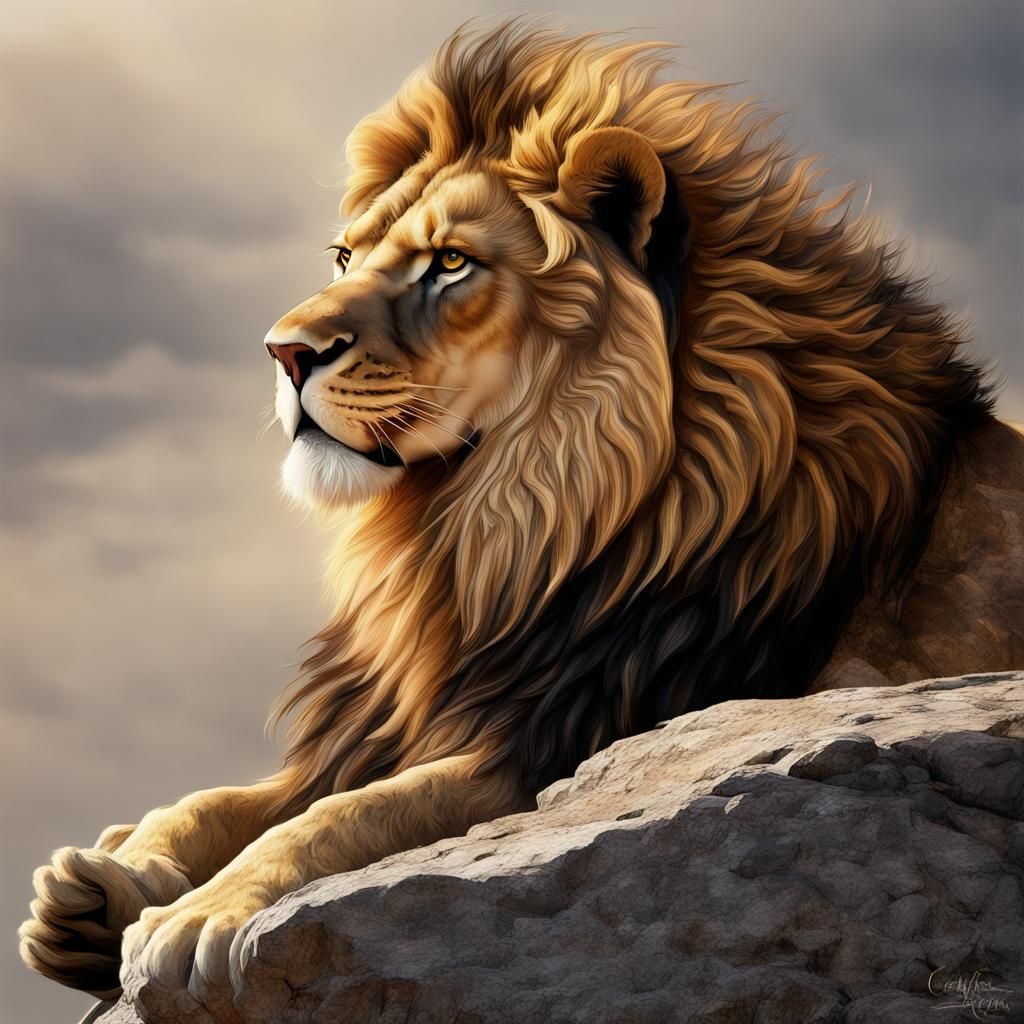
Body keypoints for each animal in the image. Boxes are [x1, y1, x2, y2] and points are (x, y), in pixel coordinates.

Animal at [20, 22, 1022, 1021]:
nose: (284, 351)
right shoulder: (395, 721)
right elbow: (229, 799)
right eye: (344, 258)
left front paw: (197, 916)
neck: (489, 528)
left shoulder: (568, 739)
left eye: (450, 262)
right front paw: (102, 882)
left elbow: (341, 816)